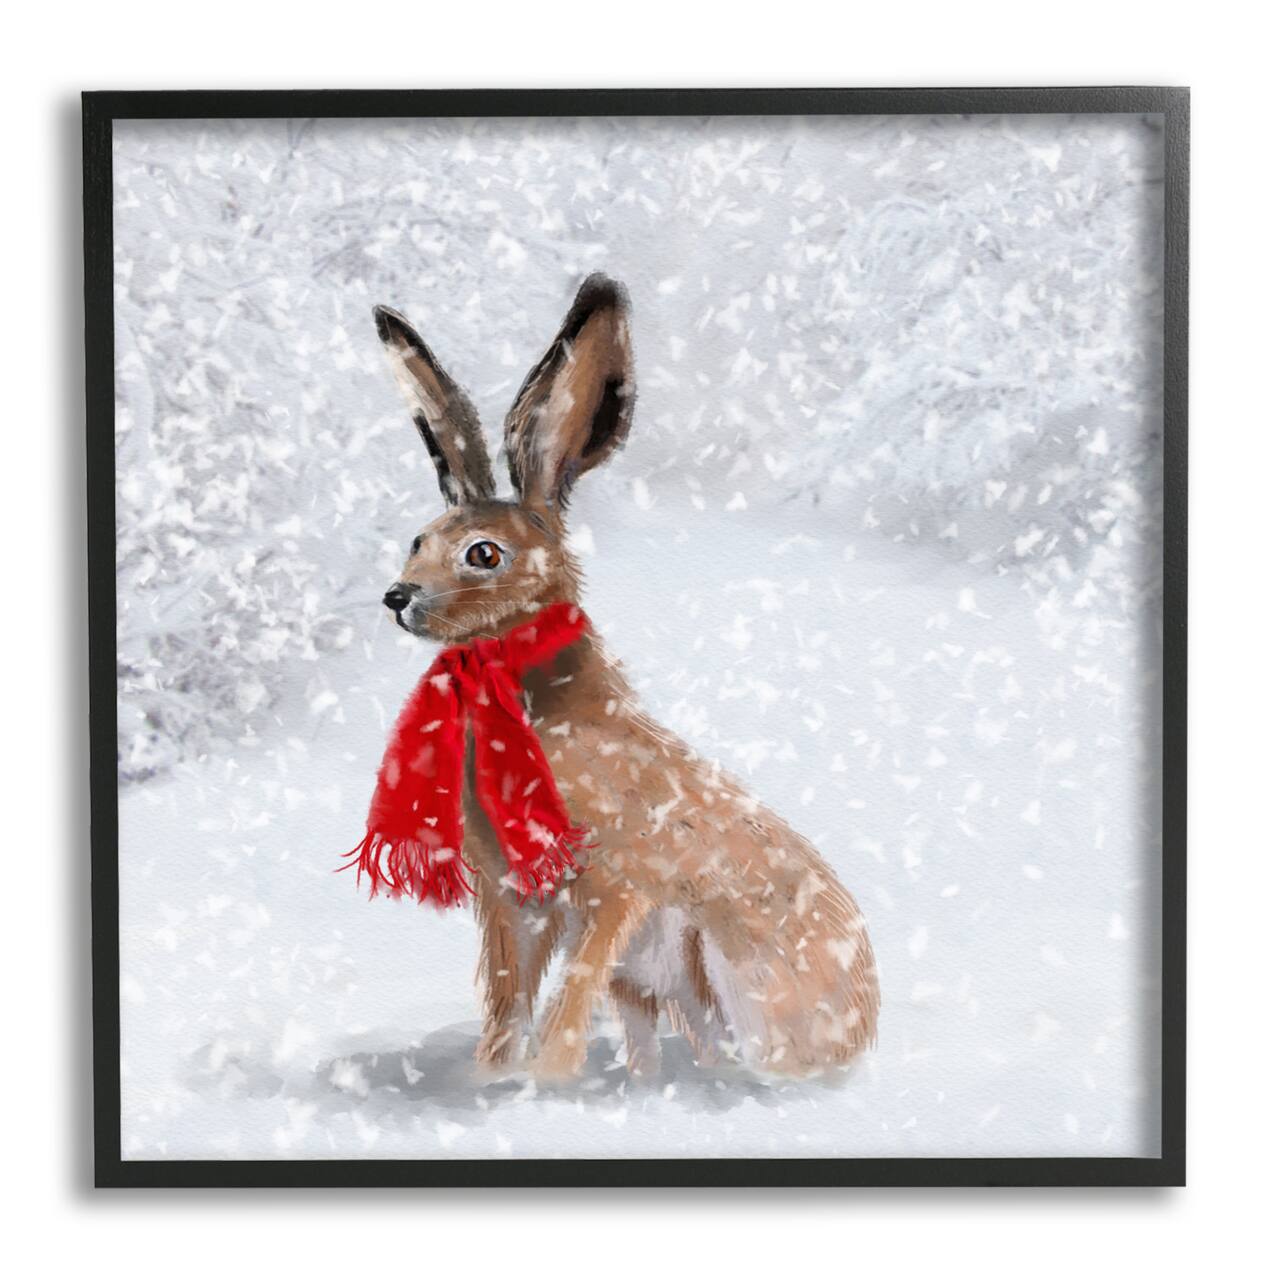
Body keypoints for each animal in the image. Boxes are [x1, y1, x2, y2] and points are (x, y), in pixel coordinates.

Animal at [372, 274, 879, 1081]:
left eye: (483, 554)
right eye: (417, 540)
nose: (398, 596)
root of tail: (865, 1031)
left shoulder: (615, 890)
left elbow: (567, 1002)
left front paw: (542, 1083)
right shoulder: (511, 905)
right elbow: (508, 1001)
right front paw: (495, 1078)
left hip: (721, 966)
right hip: (654, 992)